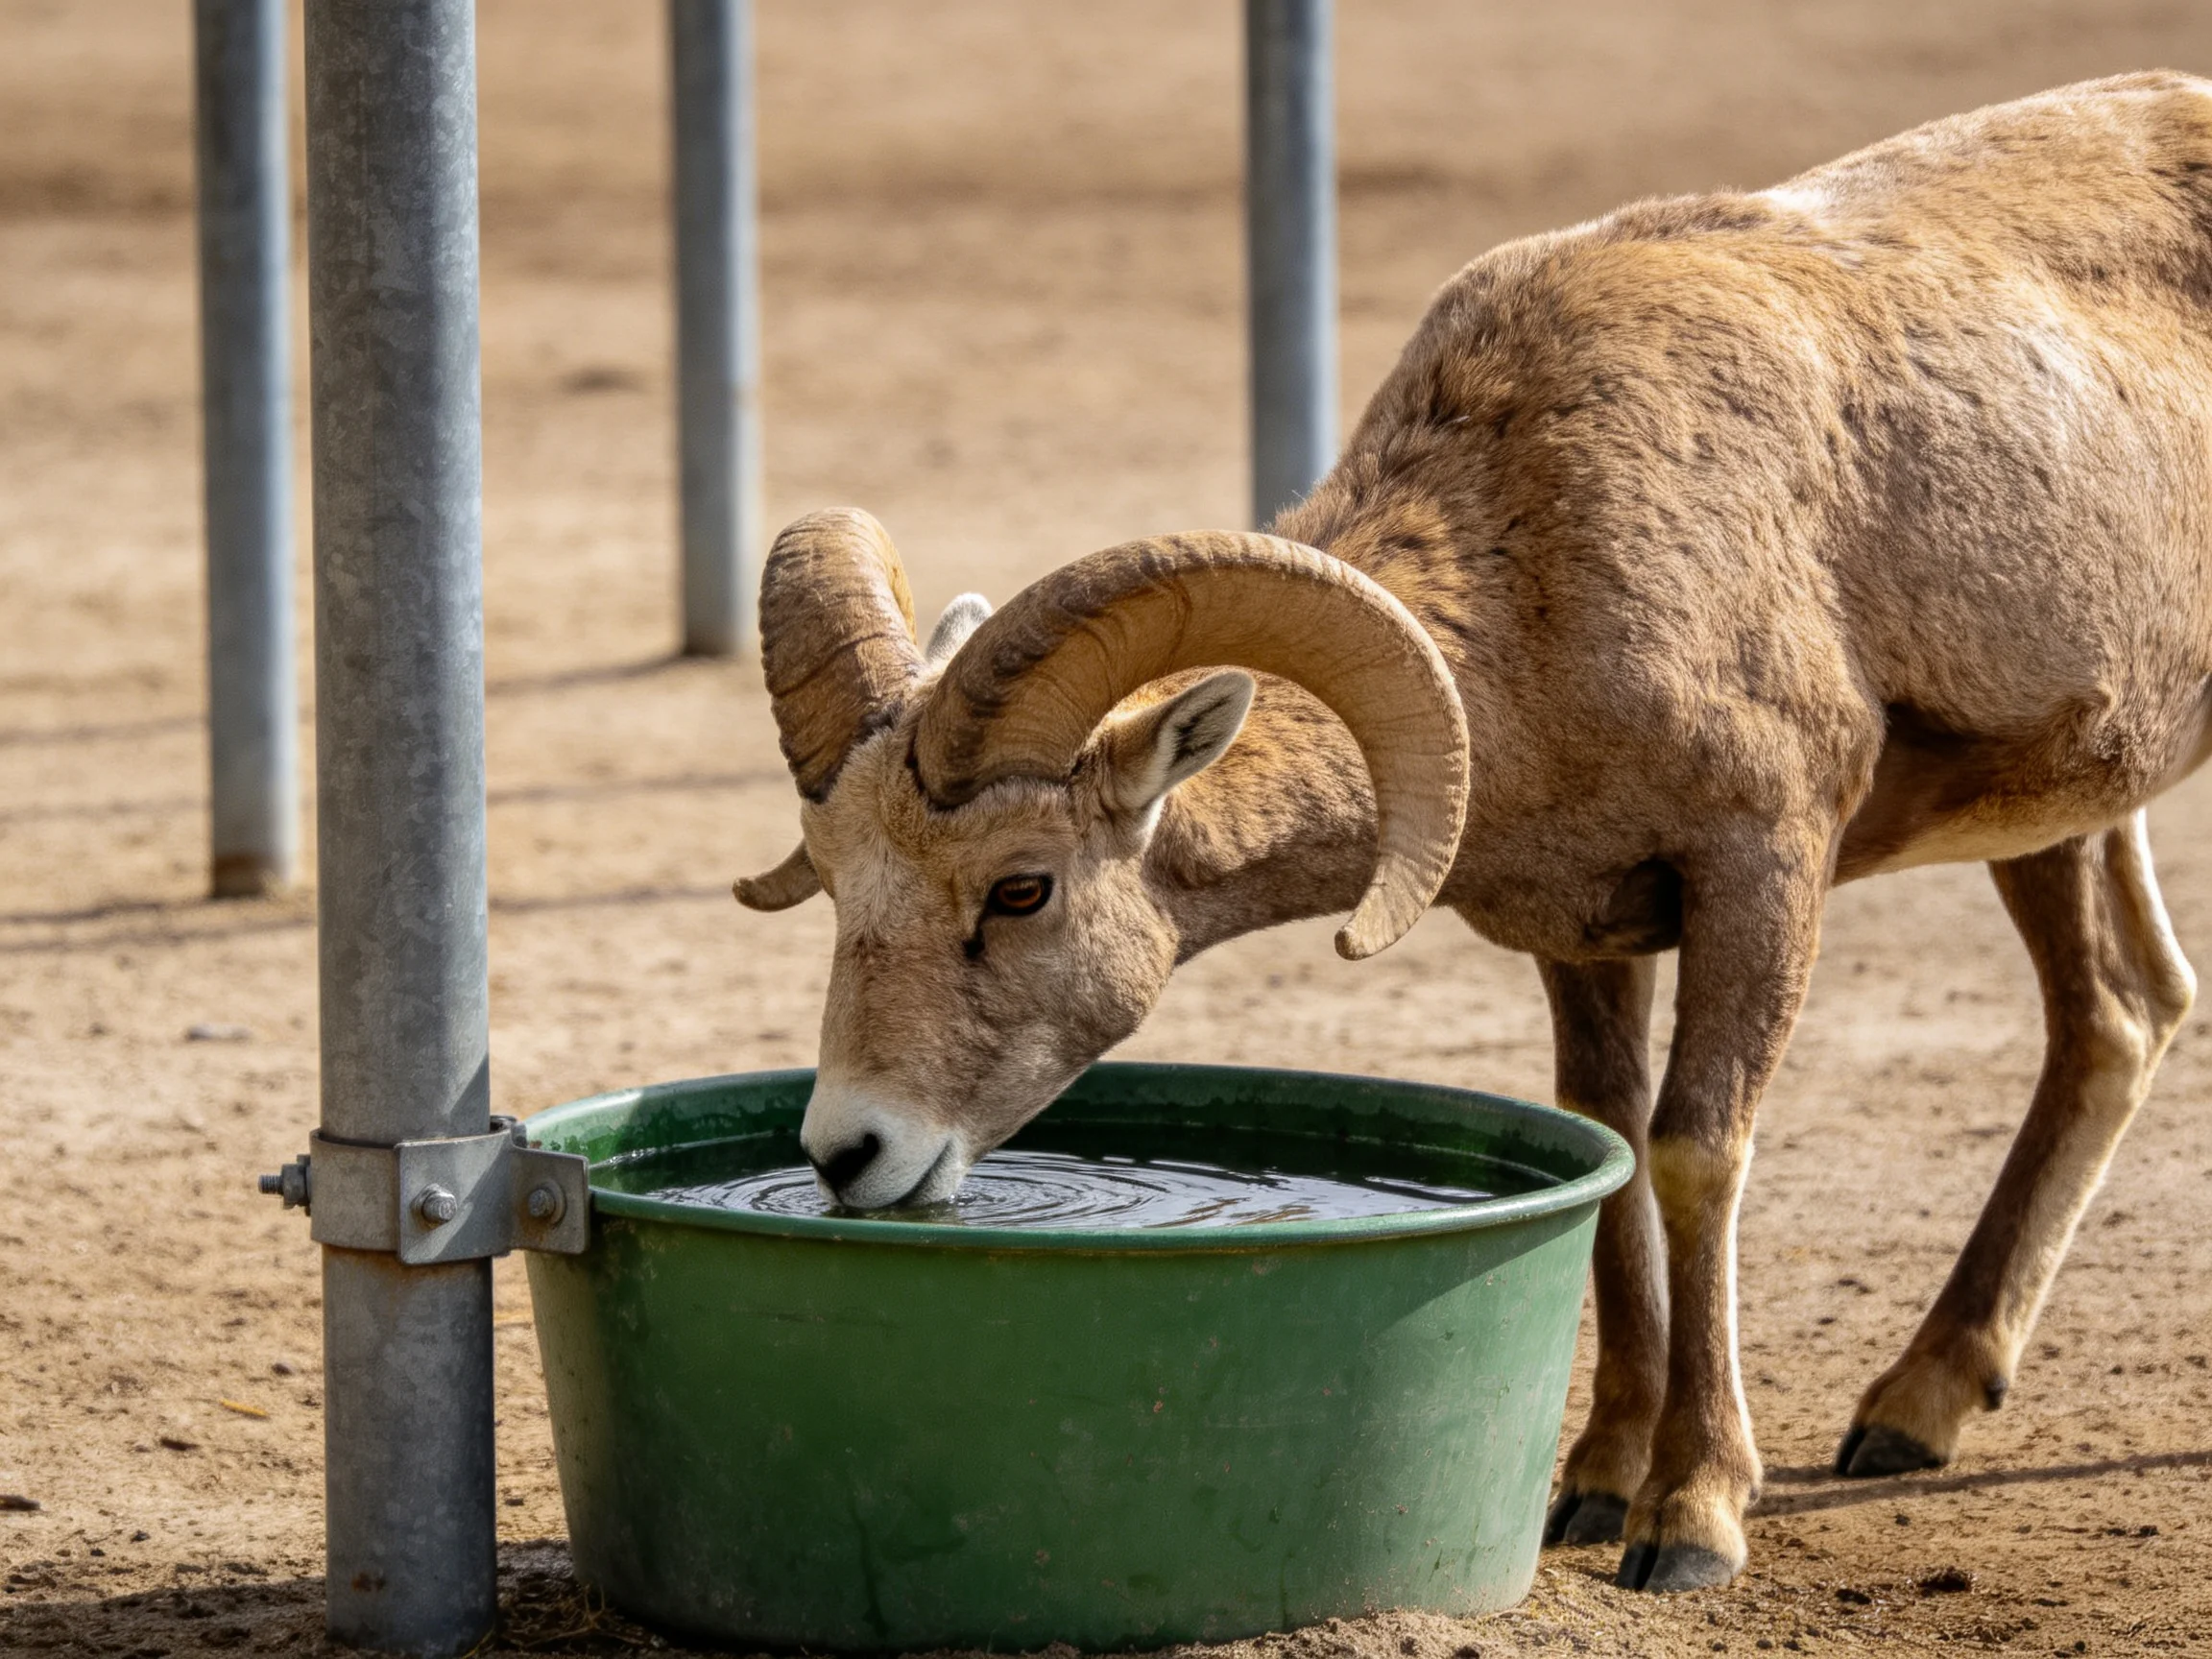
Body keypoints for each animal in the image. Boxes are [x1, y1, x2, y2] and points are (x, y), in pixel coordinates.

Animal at [737, 73, 2212, 1593]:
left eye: (1021, 890)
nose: (848, 1155)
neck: (1546, 553)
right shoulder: (1590, 931)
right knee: (2123, 1013)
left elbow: (1696, 1152)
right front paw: (1594, 1491)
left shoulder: (1762, 868)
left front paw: (1690, 1523)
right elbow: (1609, 1150)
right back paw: (1917, 1410)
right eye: (839, 884)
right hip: (2057, 818)